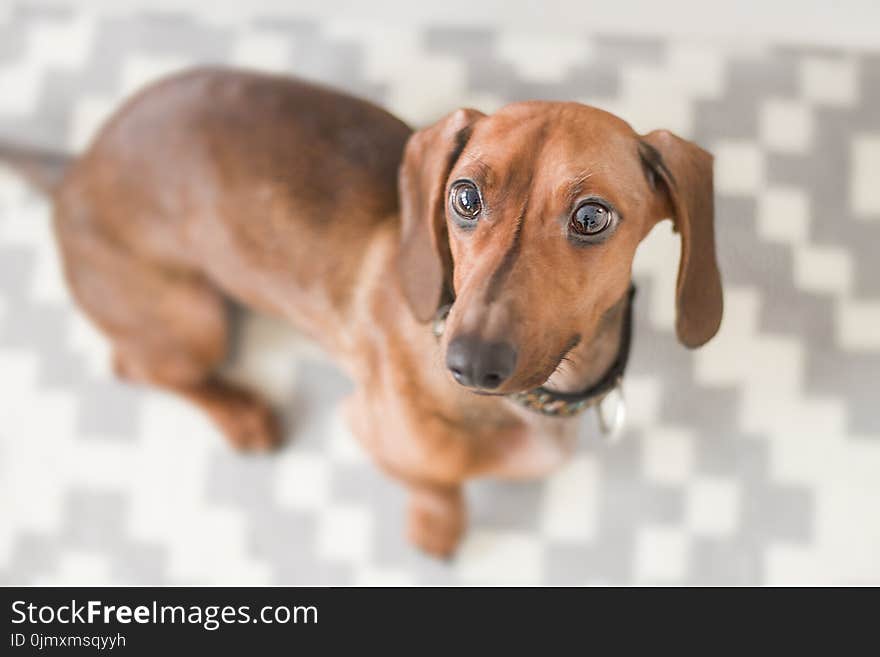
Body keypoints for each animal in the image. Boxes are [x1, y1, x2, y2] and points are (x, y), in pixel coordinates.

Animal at [1, 69, 720, 556]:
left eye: (592, 217)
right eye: (465, 196)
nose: (468, 365)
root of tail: (75, 167)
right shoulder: (369, 428)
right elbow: (437, 487)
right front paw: (437, 529)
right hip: (194, 318)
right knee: (138, 366)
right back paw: (241, 414)